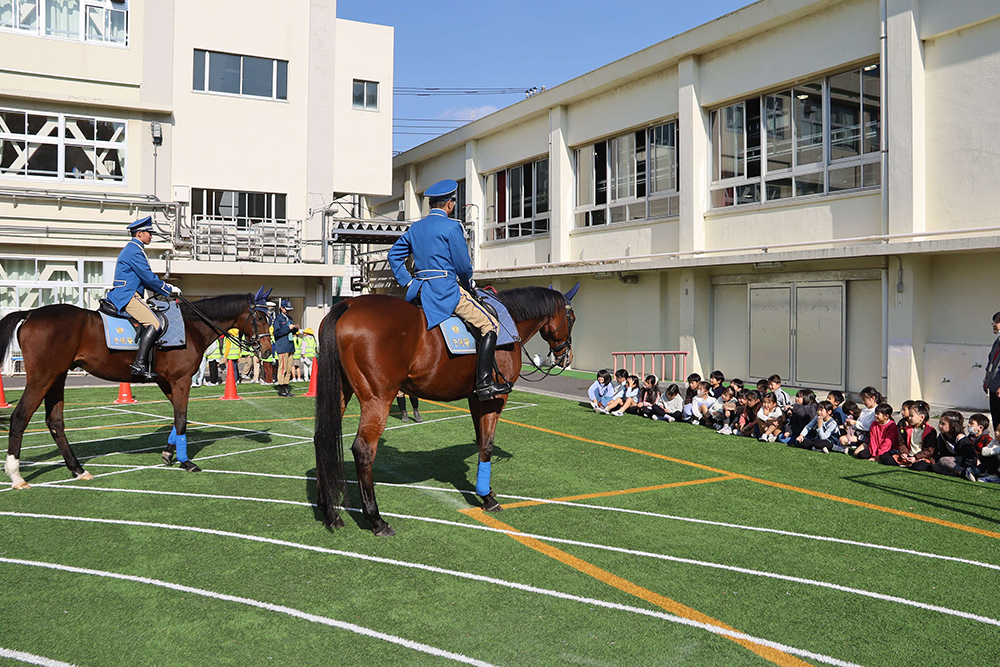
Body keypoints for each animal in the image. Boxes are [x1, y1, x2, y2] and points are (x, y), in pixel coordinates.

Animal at [0, 294, 274, 490]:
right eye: (261, 317)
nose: (268, 350)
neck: (192, 326)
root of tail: (31, 314)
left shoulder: (166, 382)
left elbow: (177, 417)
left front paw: (168, 452)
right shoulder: (181, 380)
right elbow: (182, 418)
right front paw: (185, 461)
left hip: (57, 378)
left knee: (55, 422)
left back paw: (78, 470)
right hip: (43, 378)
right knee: (20, 417)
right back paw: (16, 476)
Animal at [312, 284, 580, 536]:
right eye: (573, 318)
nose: (566, 358)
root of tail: (346, 305)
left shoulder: (475, 398)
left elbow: (480, 439)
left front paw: (484, 490)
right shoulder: (495, 398)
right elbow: (487, 443)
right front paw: (488, 498)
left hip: (341, 390)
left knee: (322, 438)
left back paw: (329, 512)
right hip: (378, 398)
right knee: (364, 450)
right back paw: (376, 519)